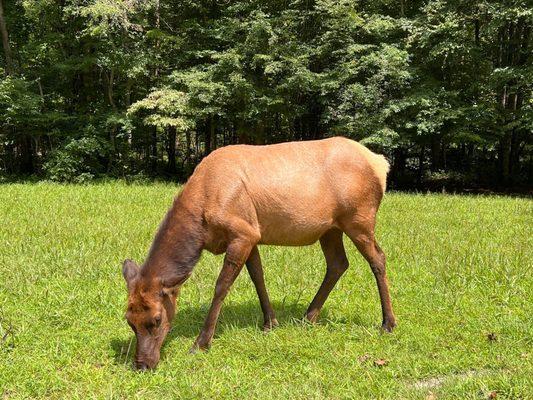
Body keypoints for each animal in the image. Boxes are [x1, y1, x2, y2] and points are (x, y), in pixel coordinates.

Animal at [120, 136, 394, 370]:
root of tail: (380, 163)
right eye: (129, 320)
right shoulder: (252, 234)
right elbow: (258, 277)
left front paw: (201, 343)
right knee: (338, 263)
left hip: (359, 218)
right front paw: (270, 322)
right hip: (330, 228)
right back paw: (309, 316)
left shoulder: (243, 232)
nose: (142, 364)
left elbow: (221, 287)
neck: (201, 223)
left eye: (156, 319)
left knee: (378, 258)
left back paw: (388, 323)